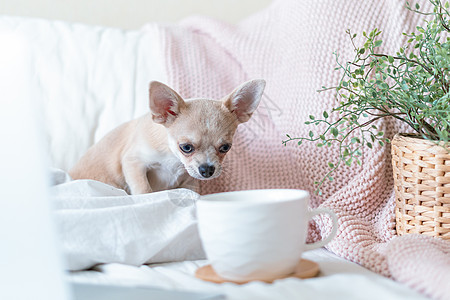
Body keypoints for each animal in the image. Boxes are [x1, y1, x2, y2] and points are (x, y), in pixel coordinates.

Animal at [69, 79, 266, 195]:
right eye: (186, 147)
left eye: (225, 147)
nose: (207, 169)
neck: (173, 158)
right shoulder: (133, 162)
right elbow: (144, 189)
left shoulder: (188, 180)